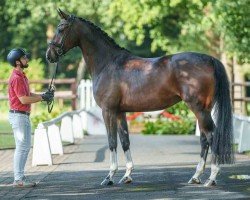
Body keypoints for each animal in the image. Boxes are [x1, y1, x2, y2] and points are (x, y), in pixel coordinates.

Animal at [45, 9, 234, 188]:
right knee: (204, 139)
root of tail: (210, 59)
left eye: (61, 28)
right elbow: (125, 141)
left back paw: (211, 177)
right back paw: (196, 176)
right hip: (204, 109)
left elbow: (112, 142)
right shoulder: (120, 112)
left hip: (198, 108)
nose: (49, 55)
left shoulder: (108, 111)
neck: (108, 64)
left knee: (211, 136)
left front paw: (109, 177)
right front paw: (127, 175)